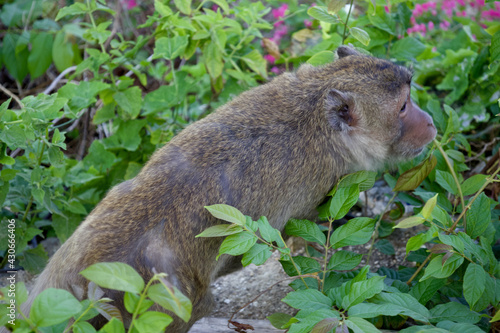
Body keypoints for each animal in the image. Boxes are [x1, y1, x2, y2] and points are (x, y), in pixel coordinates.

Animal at [9, 45, 436, 330]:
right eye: (403, 107)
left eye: (410, 96)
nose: (430, 121)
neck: (317, 109)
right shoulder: (321, 182)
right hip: (162, 302)